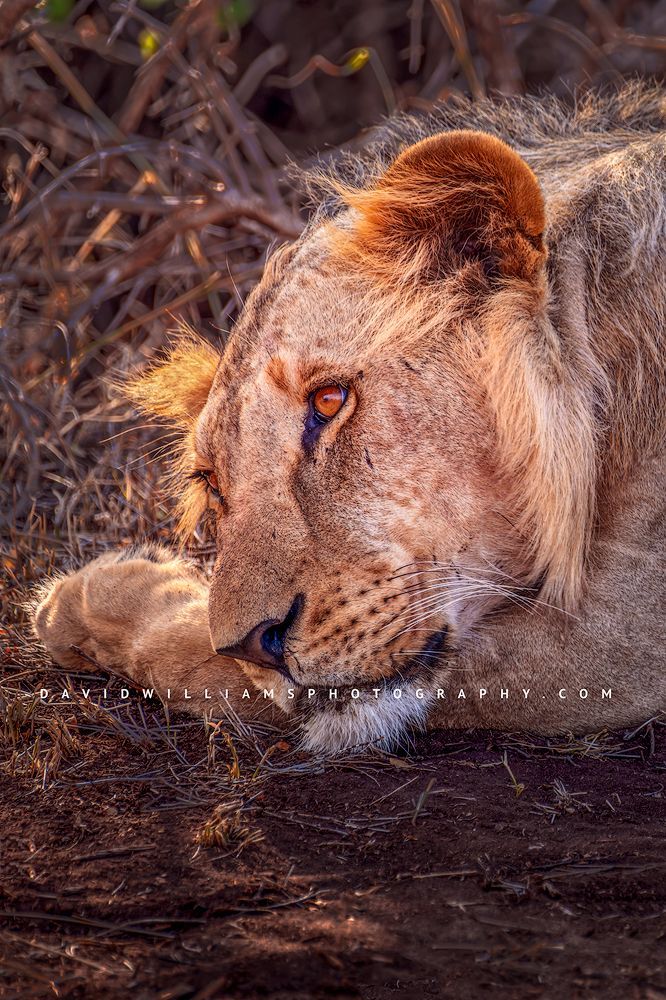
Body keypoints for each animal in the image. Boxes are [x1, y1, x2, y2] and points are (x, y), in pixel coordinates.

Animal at [33, 84, 665, 752]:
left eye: (329, 402)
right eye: (213, 484)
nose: (254, 646)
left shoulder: (620, 630)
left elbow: (191, 656)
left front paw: (83, 596)